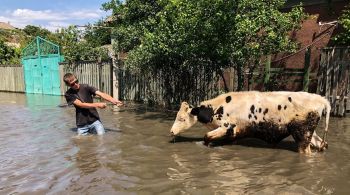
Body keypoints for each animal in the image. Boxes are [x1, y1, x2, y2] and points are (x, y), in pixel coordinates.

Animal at [170, 91, 330, 154]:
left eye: (182, 118)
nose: (171, 132)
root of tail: (321, 99)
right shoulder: (234, 133)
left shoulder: (227, 126)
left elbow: (206, 137)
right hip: (310, 134)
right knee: (322, 145)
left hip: (302, 134)